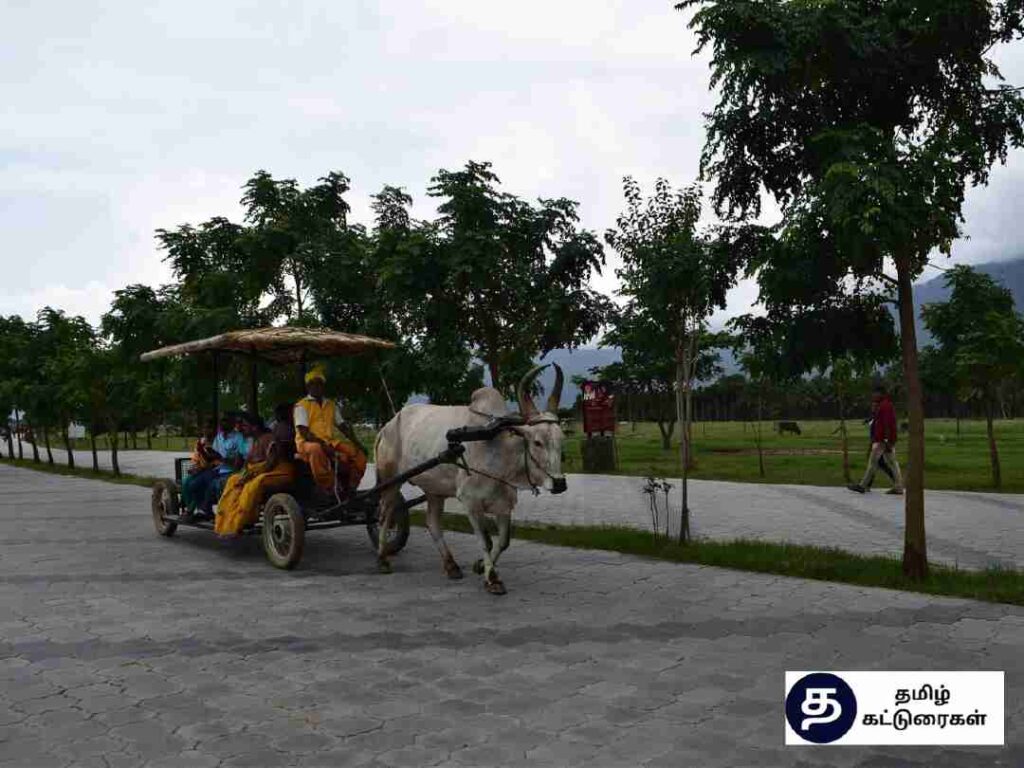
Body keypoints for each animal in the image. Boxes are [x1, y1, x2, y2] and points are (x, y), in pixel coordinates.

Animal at [376, 364, 569, 593]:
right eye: (537, 442)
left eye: (561, 439)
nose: (559, 483)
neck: (497, 448)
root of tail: (387, 426)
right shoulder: (470, 502)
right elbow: (486, 541)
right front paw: (492, 578)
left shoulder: (504, 504)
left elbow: (503, 542)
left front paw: (480, 566)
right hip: (391, 480)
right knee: (385, 515)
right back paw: (383, 559)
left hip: (434, 490)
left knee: (432, 523)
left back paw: (451, 565)